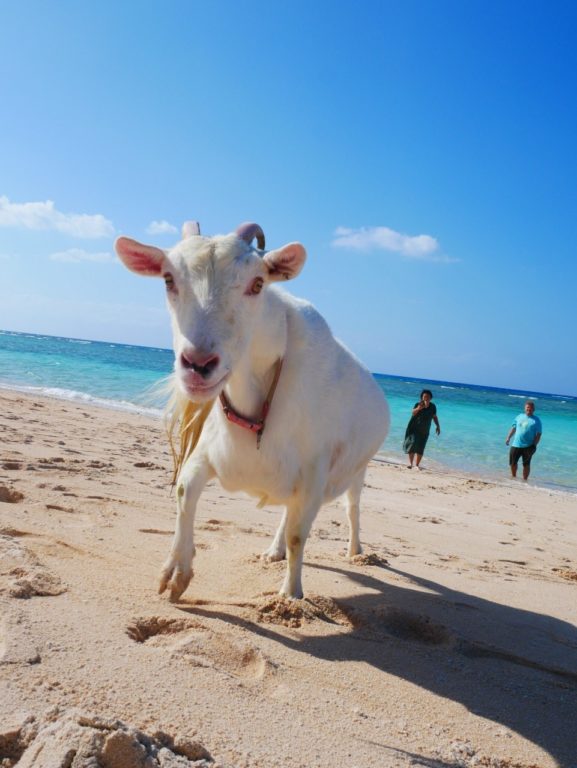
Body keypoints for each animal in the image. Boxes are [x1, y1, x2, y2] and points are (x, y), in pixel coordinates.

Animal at [115, 222, 390, 600]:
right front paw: (175, 574)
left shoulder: (315, 469)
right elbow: (185, 491)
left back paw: (356, 551)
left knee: (351, 508)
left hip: (357, 470)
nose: (198, 365)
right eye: (168, 279)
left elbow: (299, 535)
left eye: (257, 284)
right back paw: (273, 551)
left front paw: (291, 595)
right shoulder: (211, 450)